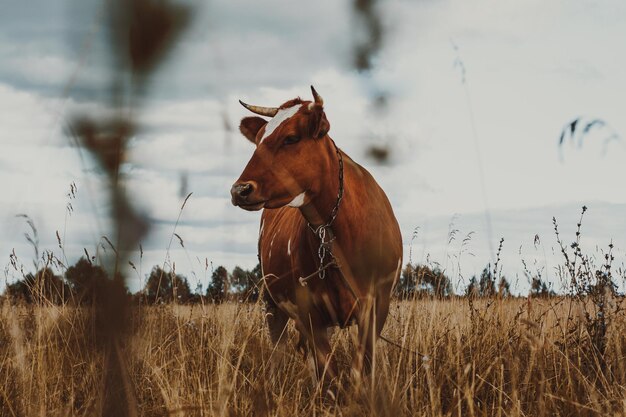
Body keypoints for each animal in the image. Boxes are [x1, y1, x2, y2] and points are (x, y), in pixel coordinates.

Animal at [229, 86, 400, 382]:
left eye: (291, 138)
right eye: (259, 139)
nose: (240, 190)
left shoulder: (377, 306)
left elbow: (360, 371)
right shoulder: (309, 313)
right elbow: (328, 374)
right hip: (271, 302)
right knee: (279, 349)